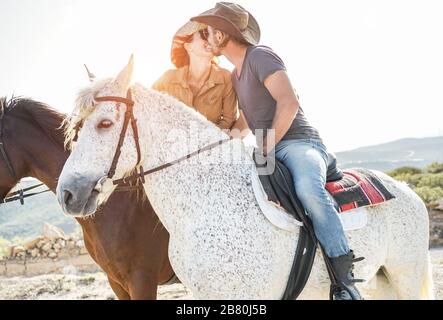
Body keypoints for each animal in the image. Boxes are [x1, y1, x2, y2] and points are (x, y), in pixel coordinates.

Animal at [55, 57, 434, 300]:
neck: (205, 200)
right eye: (75, 127)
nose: (67, 194)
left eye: (105, 123)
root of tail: (407, 191)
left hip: (405, 275)